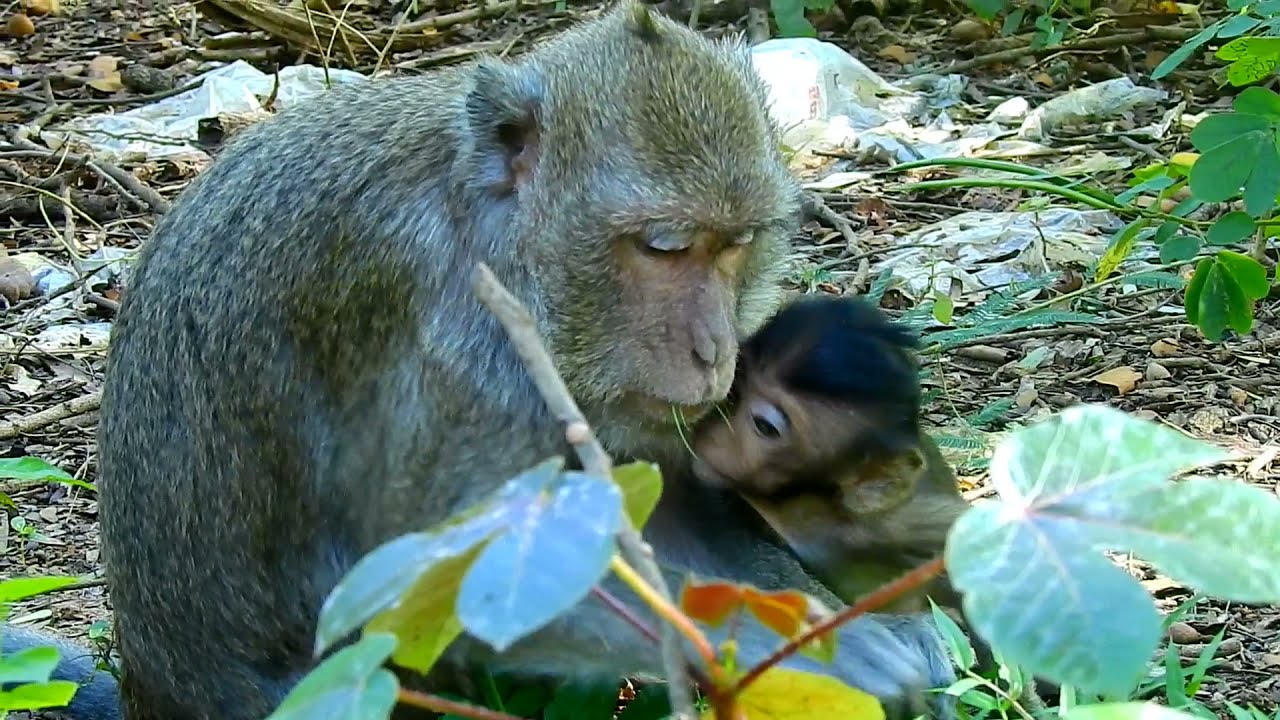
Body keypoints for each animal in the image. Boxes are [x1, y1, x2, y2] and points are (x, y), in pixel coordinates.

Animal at [1, 5, 958, 719]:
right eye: (665, 246)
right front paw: (830, 651)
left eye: (736, 246)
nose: (714, 348)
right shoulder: (459, 348)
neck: (494, 227)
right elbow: (437, 586)